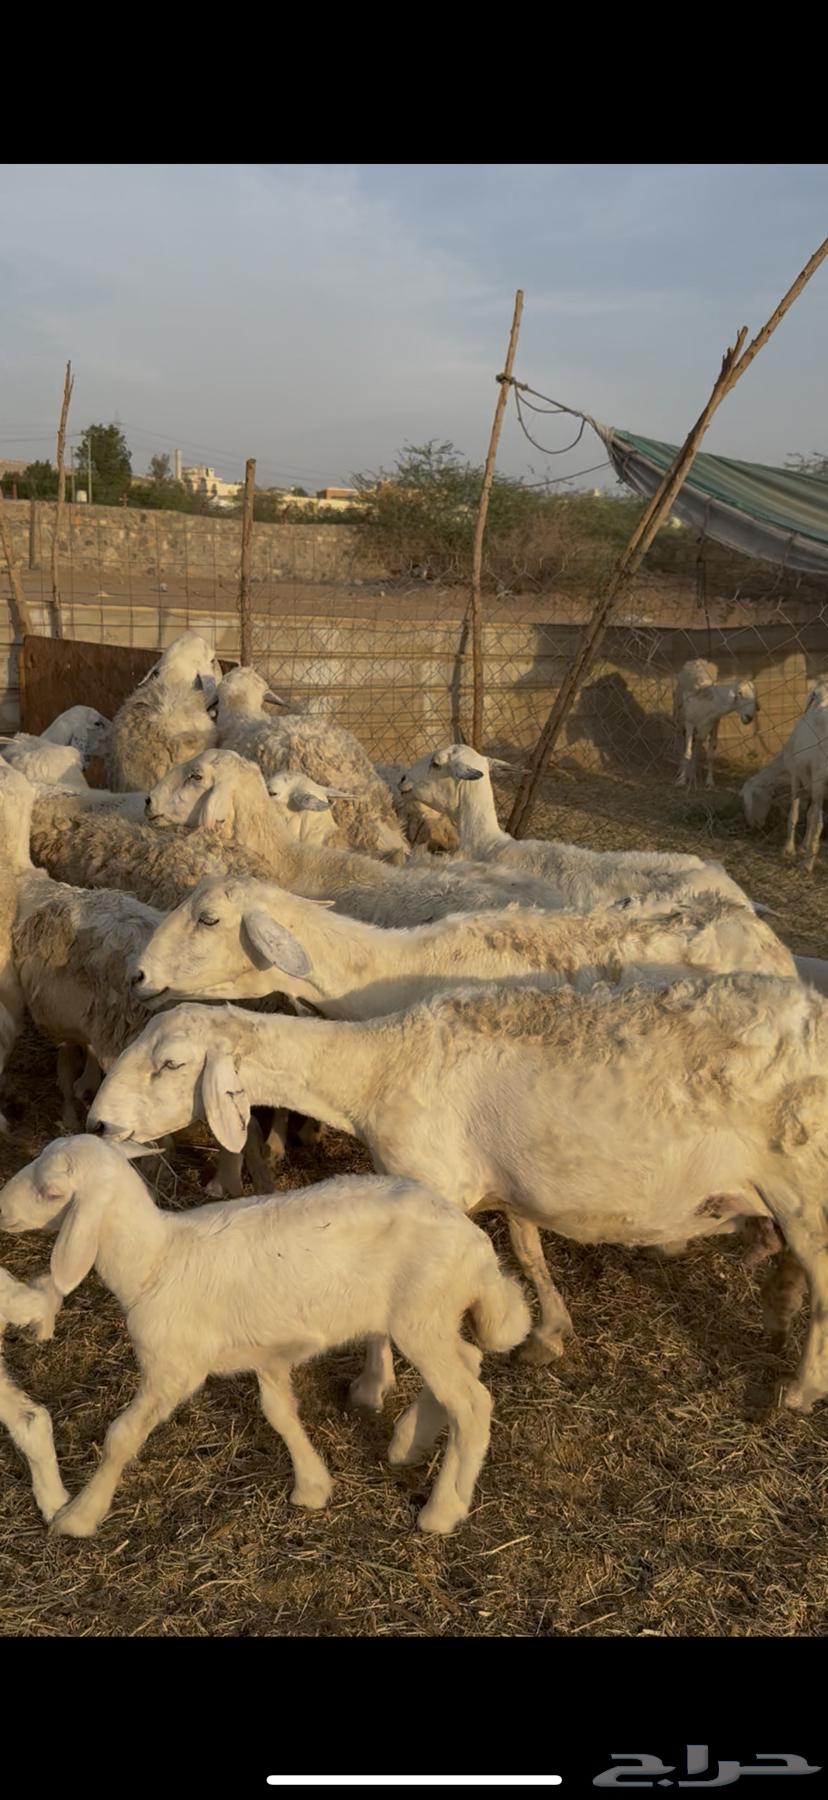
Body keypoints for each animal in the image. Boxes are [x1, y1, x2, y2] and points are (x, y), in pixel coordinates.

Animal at [90, 971, 826, 1405]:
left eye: (170, 1063)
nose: (98, 1123)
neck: (376, 1068)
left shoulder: (428, 1183)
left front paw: (372, 1387)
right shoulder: (508, 1184)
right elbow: (529, 1251)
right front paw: (550, 1332)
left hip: (807, 1190)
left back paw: (801, 1388)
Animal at [673, 658, 758, 789]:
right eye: (739, 693)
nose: (749, 718)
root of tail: (698, 660)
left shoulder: (713, 725)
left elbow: (710, 756)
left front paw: (709, 781)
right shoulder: (689, 724)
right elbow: (687, 753)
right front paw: (681, 780)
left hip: (701, 729)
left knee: (697, 746)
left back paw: (692, 773)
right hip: (680, 719)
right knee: (680, 742)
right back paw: (682, 770)